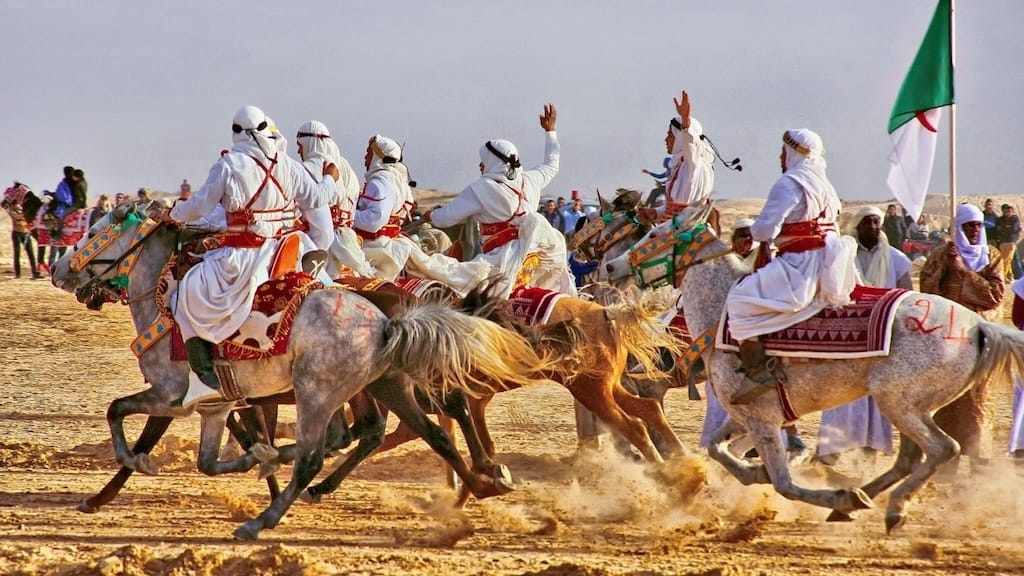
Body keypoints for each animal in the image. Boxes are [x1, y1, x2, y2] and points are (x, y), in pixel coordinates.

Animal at [48, 200, 561, 537]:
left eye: (97, 230)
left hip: (322, 392)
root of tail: (387, 318)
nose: (60, 270)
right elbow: (218, 456)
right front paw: (261, 461)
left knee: (349, 441)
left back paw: (264, 520)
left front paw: (104, 491)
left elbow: (123, 419)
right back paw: (483, 487)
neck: (162, 300)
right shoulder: (219, 407)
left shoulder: (170, 396)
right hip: (385, 385)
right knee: (422, 430)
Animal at [602, 202, 1019, 532]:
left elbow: (782, 482)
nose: (609, 265)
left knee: (943, 448)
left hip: (898, 403)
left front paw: (825, 491)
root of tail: (978, 327)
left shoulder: (761, 420)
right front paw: (756, 473)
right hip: (910, 406)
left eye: (654, 233)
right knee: (912, 458)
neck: (722, 313)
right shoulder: (746, 415)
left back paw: (886, 507)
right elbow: (718, 451)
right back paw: (862, 499)